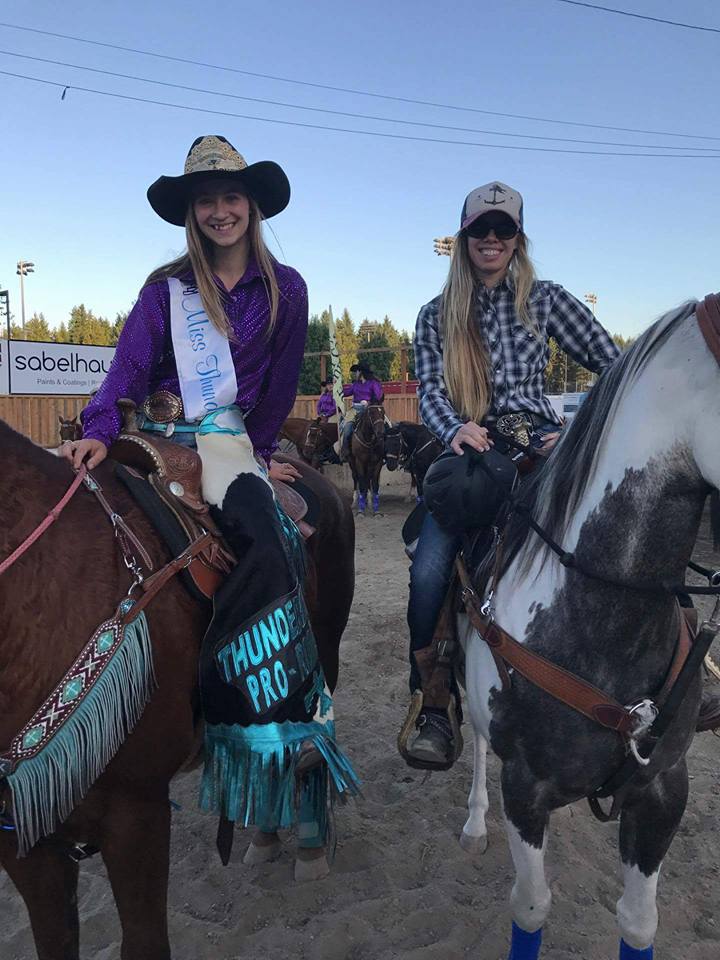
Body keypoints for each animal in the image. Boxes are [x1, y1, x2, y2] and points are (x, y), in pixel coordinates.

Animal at [458, 302, 720, 960]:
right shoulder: (524, 788)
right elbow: (530, 907)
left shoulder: (663, 789)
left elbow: (638, 920)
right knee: (475, 740)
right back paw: (473, 822)